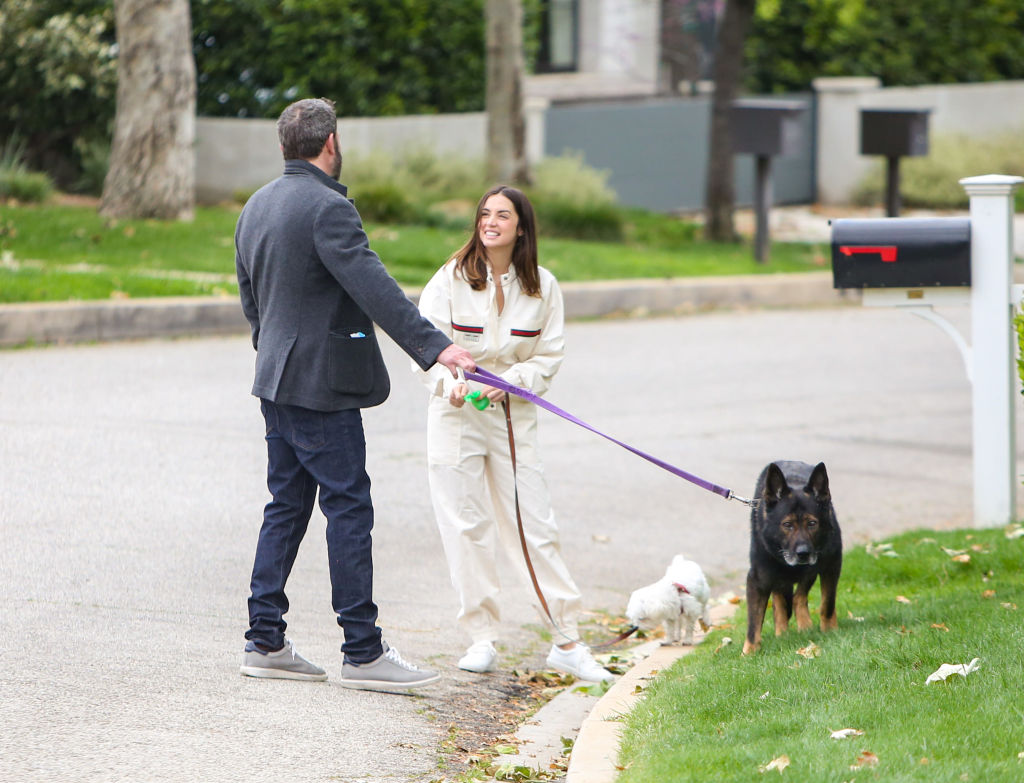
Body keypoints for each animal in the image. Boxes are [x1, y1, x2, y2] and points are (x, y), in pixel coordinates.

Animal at [745, 458, 839, 655]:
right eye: (787, 524)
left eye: (812, 523)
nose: (803, 553)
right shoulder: (758, 580)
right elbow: (753, 621)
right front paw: (749, 653)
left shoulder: (831, 566)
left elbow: (827, 603)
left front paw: (829, 631)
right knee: (781, 600)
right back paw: (783, 632)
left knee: (799, 596)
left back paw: (804, 623)